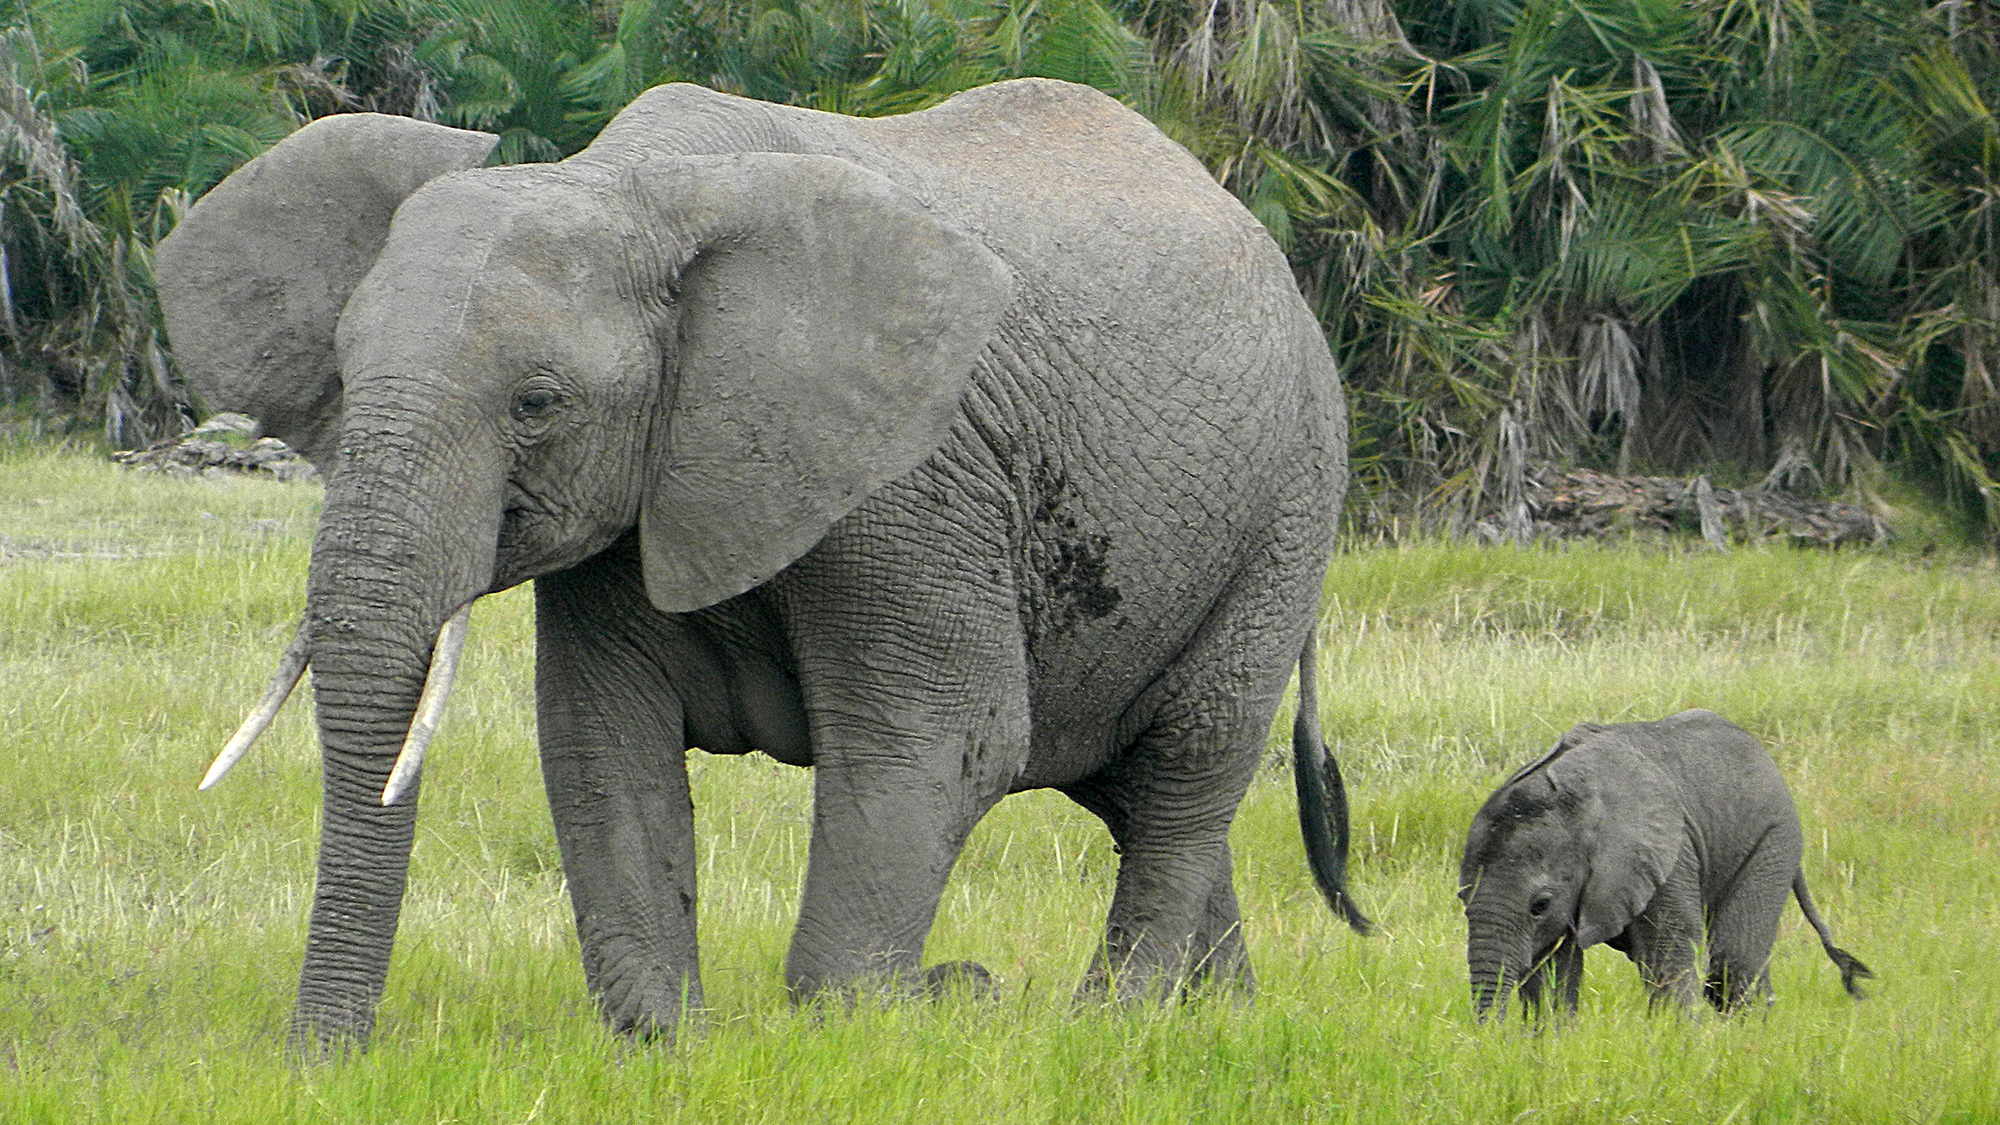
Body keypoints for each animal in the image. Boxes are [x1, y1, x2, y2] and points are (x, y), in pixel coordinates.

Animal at [156, 76, 1360, 1040]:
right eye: (345, 377)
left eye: (537, 405)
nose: (322, 1062)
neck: (626, 185)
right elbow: (600, 745)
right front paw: (670, 1045)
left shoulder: (912, 485)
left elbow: (945, 741)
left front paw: (897, 1016)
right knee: (1138, 788)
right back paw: (1213, 1024)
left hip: (1290, 509)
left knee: (1189, 766)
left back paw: (1110, 1024)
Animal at [1464, 708, 1864, 1016]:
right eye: (1462, 900)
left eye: (1540, 904)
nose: (1492, 1044)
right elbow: (1551, 970)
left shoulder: (1666, 853)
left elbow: (1665, 954)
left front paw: (1679, 1045)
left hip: (1773, 838)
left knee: (1733, 962)